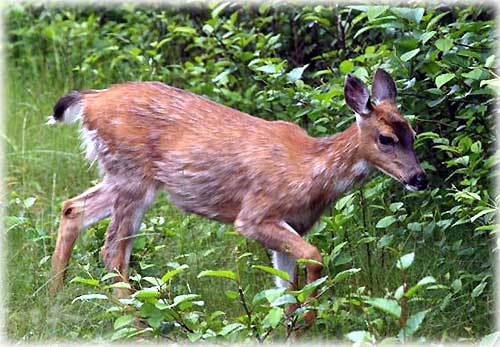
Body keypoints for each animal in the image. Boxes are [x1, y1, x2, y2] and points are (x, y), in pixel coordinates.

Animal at [48, 68, 428, 326]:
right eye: (385, 138)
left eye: (413, 132)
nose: (419, 178)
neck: (308, 170)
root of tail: (90, 100)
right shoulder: (255, 214)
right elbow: (314, 256)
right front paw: (307, 319)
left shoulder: (292, 225)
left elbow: (283, 288)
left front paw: (290, 327)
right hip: (132, 175)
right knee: (113, 251)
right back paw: (138, 326)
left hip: (120, 175)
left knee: (72, 208)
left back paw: (57, 296)